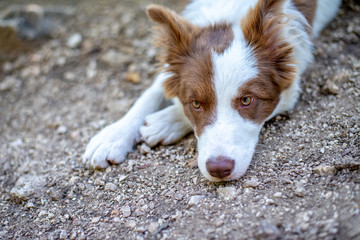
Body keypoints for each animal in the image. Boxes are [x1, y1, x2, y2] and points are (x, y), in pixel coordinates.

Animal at [83, 0, 342, 181]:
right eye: (196, 104)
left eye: (246, 100)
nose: (219, 169)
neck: (229, 16)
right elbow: (150, 94)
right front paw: (113, 135)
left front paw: (164, 122)